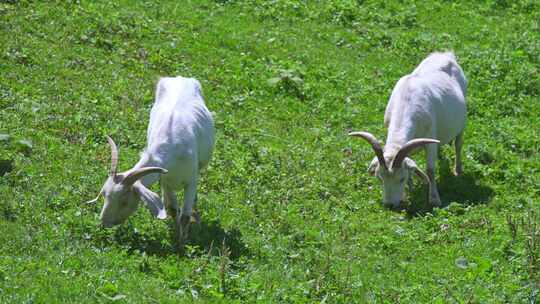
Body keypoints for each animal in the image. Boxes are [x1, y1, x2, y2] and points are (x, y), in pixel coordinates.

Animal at [87, 76, 215, 242]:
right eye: (104, 195)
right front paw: (176, 234)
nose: (104, 223)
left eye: (124, 201)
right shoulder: (165, 179)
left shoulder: (191, 180)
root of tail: (180, 78)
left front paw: (182, 242)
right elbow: (173, 209)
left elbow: (185, 216)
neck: (173, 147)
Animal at [350, 52, 468, 209]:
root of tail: (446, 54)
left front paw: (434, 199)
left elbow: (430, 170)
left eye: (401, 179)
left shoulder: (429, 139)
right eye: (380, 178)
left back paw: (458, 170)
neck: (406, 102)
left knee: (458, 143)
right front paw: (409, 190)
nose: (389, 205)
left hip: (462, 121)